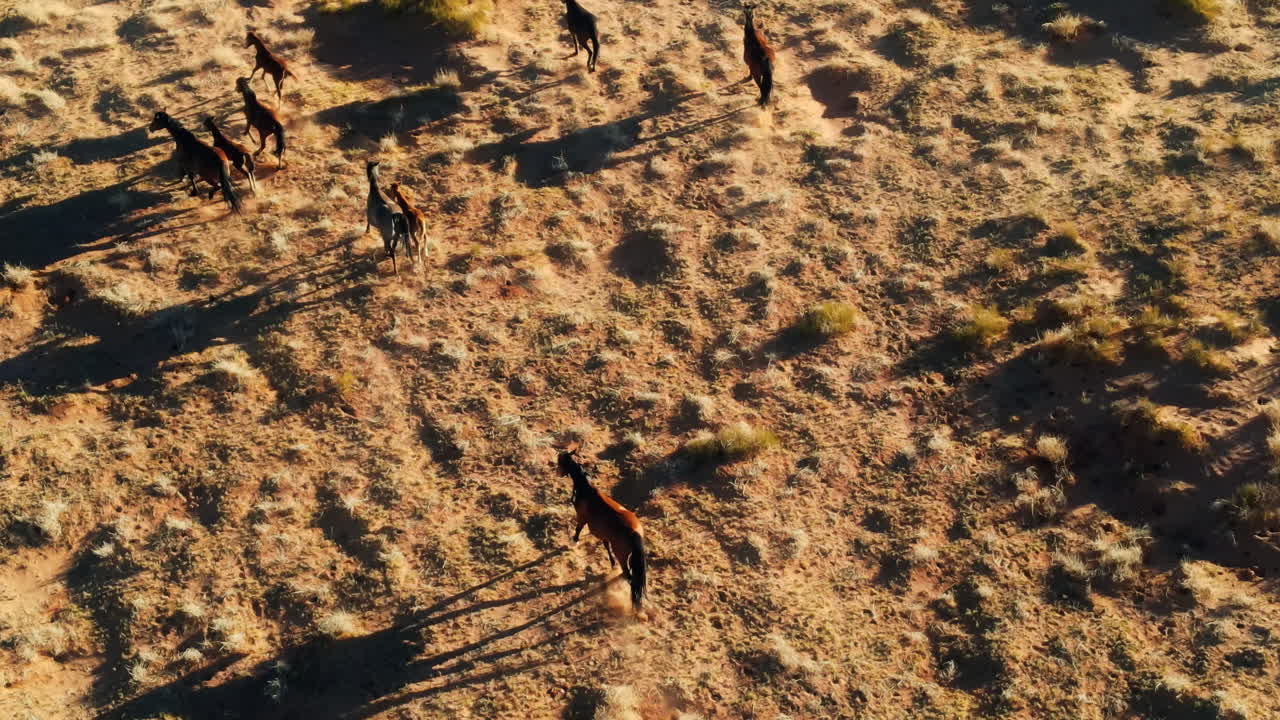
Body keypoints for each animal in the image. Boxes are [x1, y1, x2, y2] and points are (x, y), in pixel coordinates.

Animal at [557, 448, 646, 610]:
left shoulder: (582, 517)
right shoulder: (604, 534)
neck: (586, 490)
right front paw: (612, 563)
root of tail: (634, 532)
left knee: (630, 578)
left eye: (560, 461)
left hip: (623, 555)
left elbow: (578, 529)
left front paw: (574, 542)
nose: (557, 472)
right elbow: (606, 545)